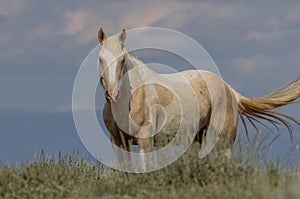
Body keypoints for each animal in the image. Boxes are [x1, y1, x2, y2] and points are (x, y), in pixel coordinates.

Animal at [97, 28, 298, 169]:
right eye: (100, 59)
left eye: (123, 59)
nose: (112, 93)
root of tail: (230, 90)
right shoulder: (118, 142)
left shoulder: (145, 141)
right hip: (197, 138)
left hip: (223, 139)